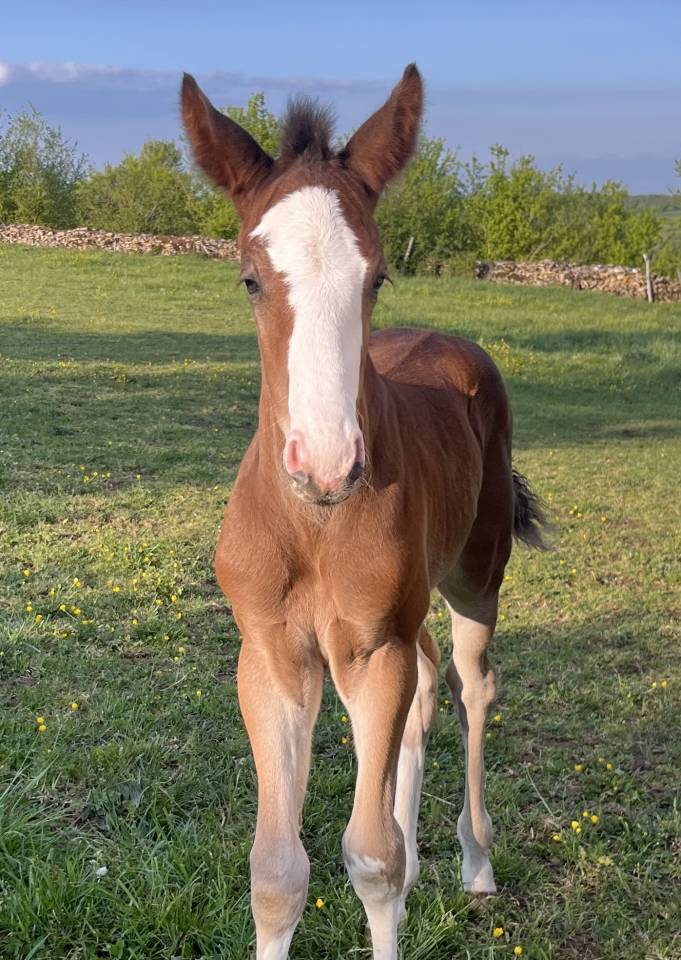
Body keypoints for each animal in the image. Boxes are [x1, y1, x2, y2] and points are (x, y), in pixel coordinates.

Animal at [181, 64, 547, 960]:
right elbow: (277, 870)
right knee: (423, 689)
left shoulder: (370, 650)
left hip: (473, 580)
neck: (312, 526)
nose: (325, 461)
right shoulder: (271, 657)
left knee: (469, 686)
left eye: (375, 276)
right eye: (249, 277)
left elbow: (370, 859)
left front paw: (402, 877)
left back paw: (473, 860)